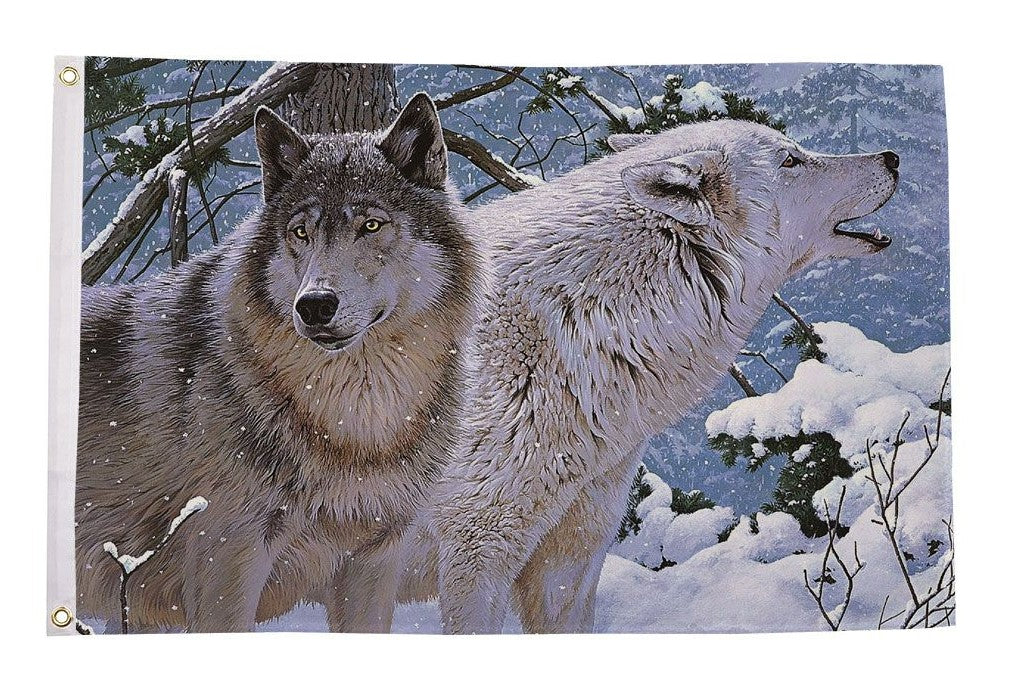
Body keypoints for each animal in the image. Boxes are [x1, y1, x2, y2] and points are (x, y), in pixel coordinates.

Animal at [75, 93, 482, 633]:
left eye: (371, 225)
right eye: (301, 232)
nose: (314, 305)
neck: (358, 424)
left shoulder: (376, 556)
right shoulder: (227, 558)